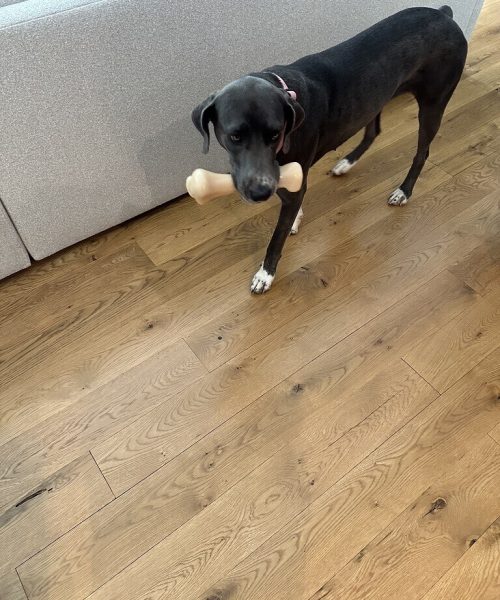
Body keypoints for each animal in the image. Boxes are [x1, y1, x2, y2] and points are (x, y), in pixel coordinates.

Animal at [192, 5, 468, 292]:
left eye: (275, 134)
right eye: (235, 136)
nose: (260, 193)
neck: (285, 90)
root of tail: (444, 14)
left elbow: (277, 237)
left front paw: (265, 274)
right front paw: (296, 218)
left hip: (433, 103)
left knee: (422, 152)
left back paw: (403, 191)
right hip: (374, 99)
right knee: (374, 131)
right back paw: (346, 163)